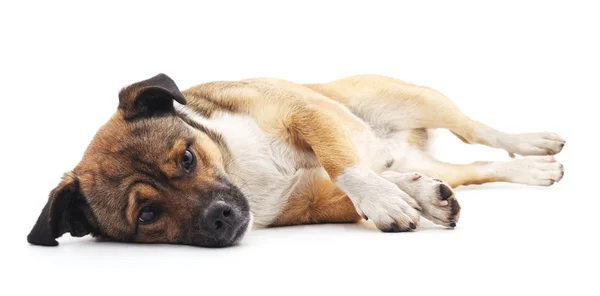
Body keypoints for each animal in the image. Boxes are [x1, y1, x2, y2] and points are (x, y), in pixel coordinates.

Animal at [25, 73, 564, 247]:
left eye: (187, 158)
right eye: (148, 214)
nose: (221, 217)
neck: (238, 167)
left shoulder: (303, 113)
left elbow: (345, 164)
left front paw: (388, 200)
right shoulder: (313, 201)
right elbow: (361, 181)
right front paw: (409, 199)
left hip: (416, 98)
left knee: (478, 130)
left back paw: (536, 146)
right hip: (435, 157)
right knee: (473, 169)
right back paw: (526, 171)